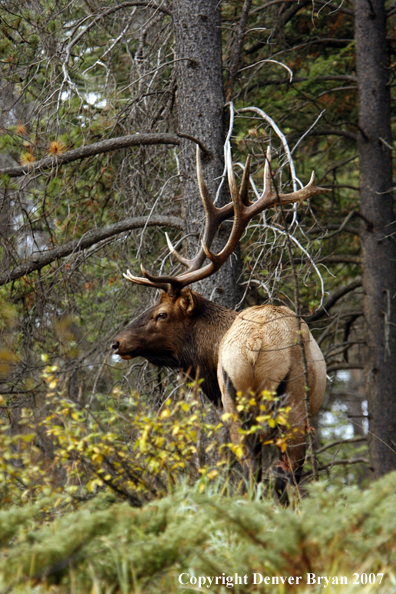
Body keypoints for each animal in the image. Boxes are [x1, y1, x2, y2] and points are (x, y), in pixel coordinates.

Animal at [112, 146, 328, 488]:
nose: (117, 343)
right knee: (280, 475)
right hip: (280, 407)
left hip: (248, 404)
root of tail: (255, 345)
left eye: (161, 314)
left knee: (262, 471)